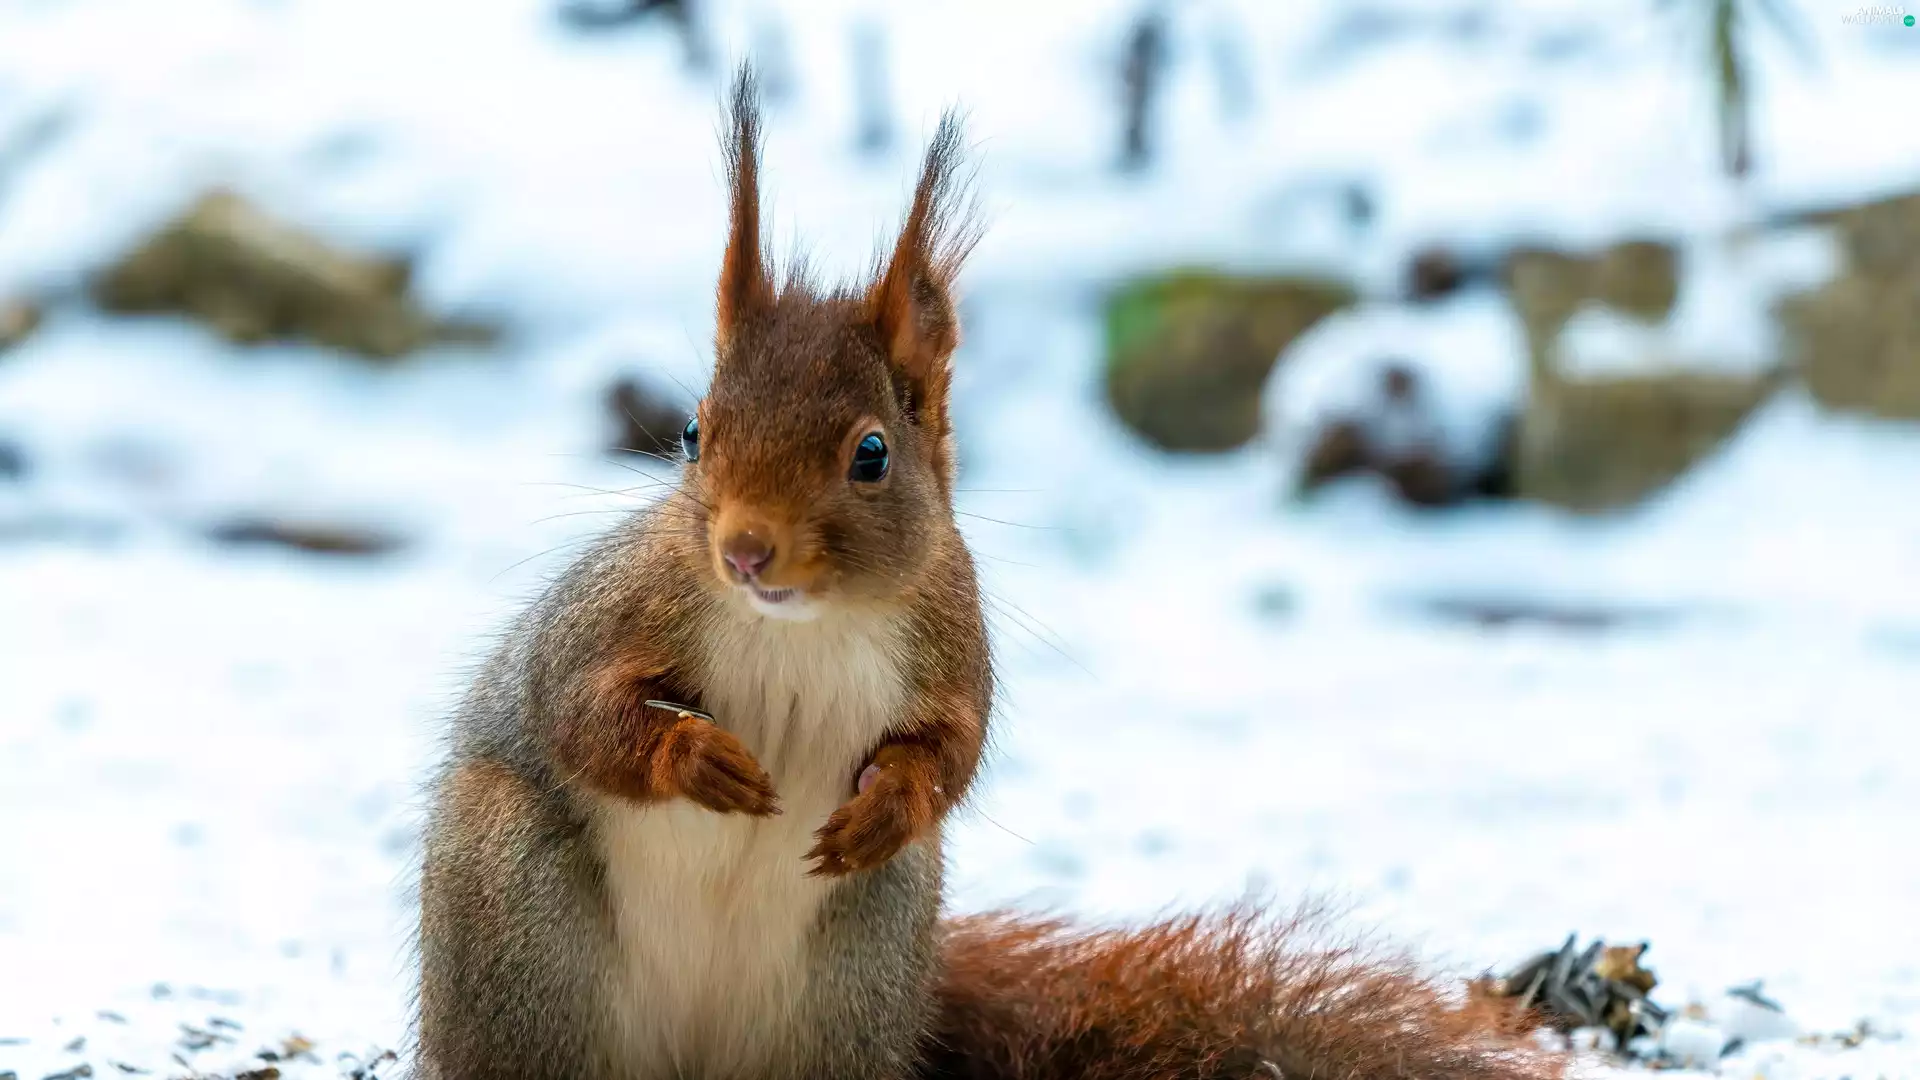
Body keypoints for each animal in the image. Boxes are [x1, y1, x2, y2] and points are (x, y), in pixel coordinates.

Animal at [414, 65, 1566, 1080]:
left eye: (872, 455)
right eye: (694, 434)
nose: (744, 550)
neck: (805, 623)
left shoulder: (951, 642)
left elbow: (952, 754)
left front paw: (888, 802)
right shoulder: (618, 610)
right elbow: (575, 709)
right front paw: (701, 759)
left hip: (868, 951)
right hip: (517, 915)